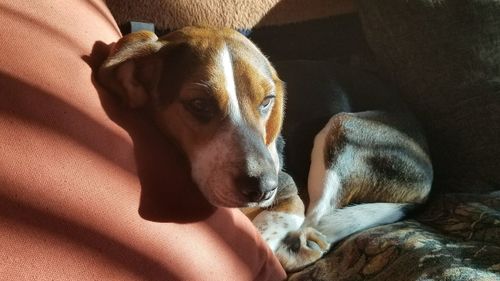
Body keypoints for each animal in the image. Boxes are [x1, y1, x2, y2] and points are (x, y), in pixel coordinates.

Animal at [98, 26, 434, 272]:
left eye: (267, 102)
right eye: (199, 104)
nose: (264, 189)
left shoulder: (290, 193)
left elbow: (269, 226)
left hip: (342, 127)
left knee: (317, 217)